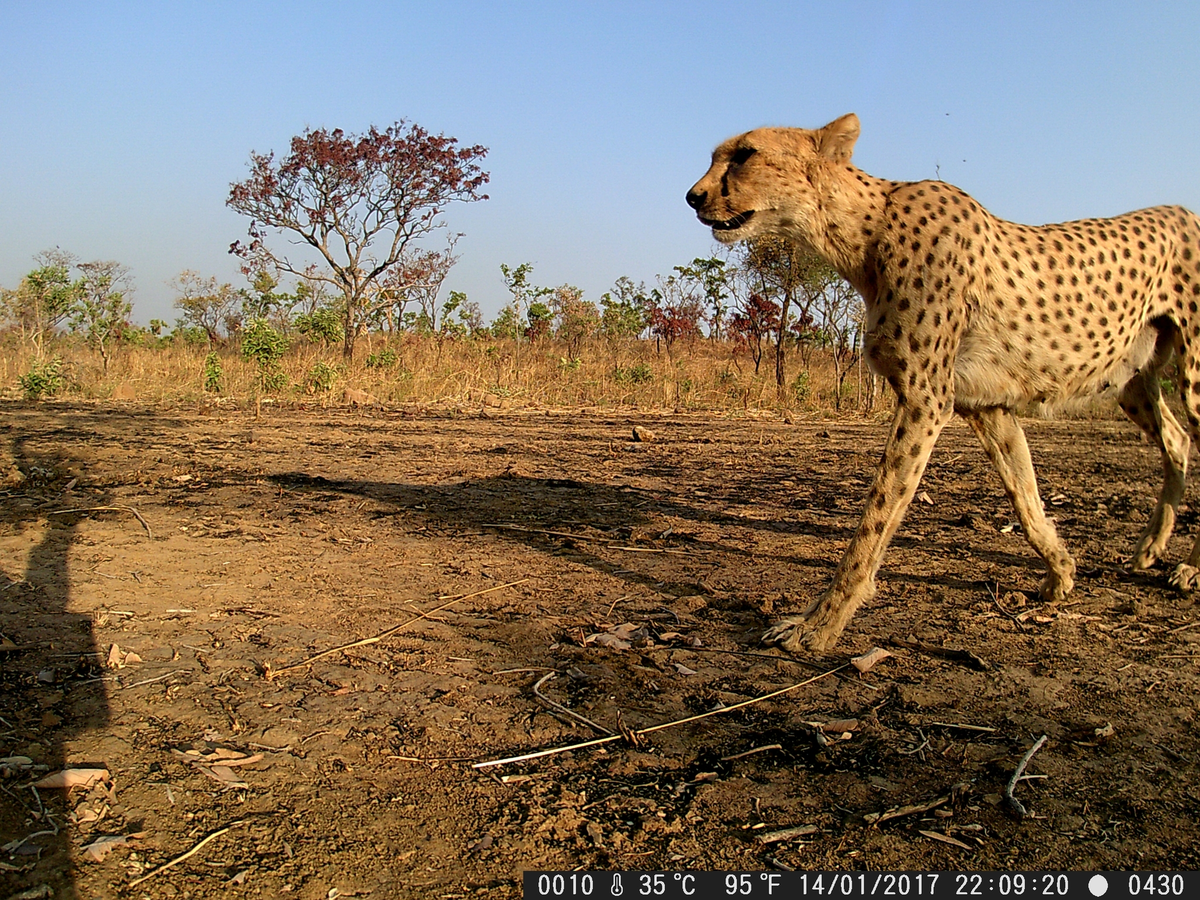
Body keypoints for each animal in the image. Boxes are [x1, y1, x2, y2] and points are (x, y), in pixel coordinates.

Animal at [691, 116, 1200, 657]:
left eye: (745, 154)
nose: (693, 195)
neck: (864, 231)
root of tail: (1184, 210)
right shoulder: (986, 405)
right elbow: (1025, 495)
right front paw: (1061, 572)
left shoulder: (927, 400)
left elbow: (875, 518)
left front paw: (820, 624)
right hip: (1132, 380)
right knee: (1176, 439)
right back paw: (1149, 549)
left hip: (1192, 370)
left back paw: (1187, 568)